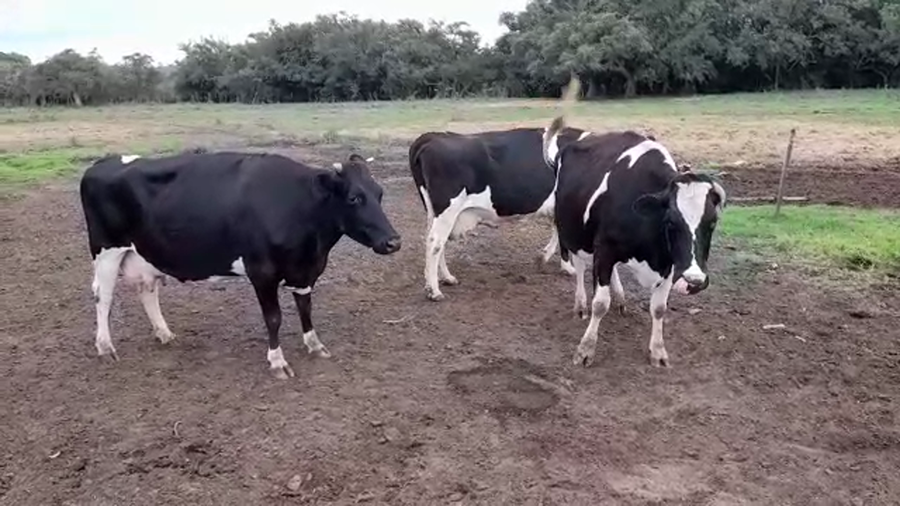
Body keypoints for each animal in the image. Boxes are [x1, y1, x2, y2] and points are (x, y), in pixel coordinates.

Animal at [79, 151, 401, 379]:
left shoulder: (304, 271)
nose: (394, 242)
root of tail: (101, 163)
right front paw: (277, 361)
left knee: (147, 290)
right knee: (102, 296)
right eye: (354, 198)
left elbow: (305, 308)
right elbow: (274, 318)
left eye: (380, 193)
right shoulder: (262, 272)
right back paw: (105, 347)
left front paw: (314, 345)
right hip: (106, 249)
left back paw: (164, 334)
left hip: (143, 253)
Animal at [409, 125, 590, 301]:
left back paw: (446, 278)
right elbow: (562, 236)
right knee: (435, 243)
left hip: (434, 211)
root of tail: (433, 136)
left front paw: (546, 257)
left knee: (436, 241)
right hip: (448, 209)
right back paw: (434, 290)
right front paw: (567, 267)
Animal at [543, 116, 726, 368]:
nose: (694, 281)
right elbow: (600, 303)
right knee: (579, 266)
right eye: (671, 222)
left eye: (712, 222)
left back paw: (620, 298)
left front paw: (658, 351)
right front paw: (585, 349)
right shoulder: (605, 249)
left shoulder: (671, 264)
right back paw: (580, 304)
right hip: (575, 231)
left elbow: (659, 309)